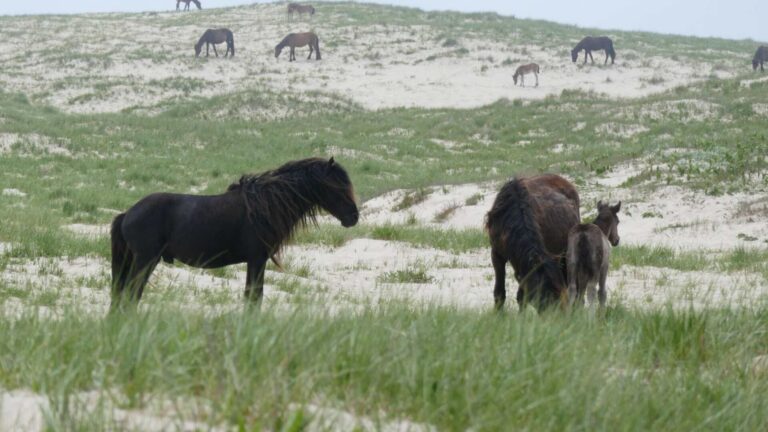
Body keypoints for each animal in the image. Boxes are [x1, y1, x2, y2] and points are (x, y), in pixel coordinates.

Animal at [110, 157, 358, 311]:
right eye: (336, 187)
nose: (353, 217)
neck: (265, 206)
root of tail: (128, 213)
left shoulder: (257, 261)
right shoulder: (257, 260)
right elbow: (253, 298)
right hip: (145, 260)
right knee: (131, 294)